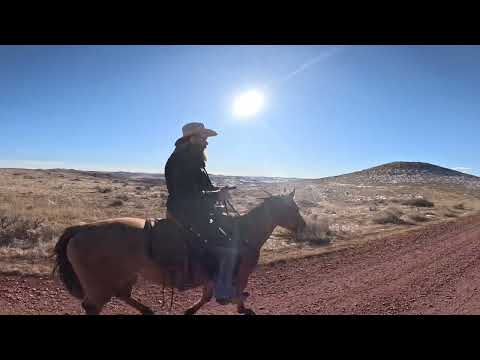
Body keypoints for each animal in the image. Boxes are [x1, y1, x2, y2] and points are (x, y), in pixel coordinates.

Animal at [52, 191, 306, 316]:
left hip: (125, 275)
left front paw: (190, 310)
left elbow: (206, 296)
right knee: (93, 306)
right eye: (293, 208)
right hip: (99, 285)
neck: (244, 232)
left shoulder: (211, 276)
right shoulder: (238, 273)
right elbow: (234, 293)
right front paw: (242, 307)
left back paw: (147, 310)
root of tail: (81, 229)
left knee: (122, 294)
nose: (303, 226)